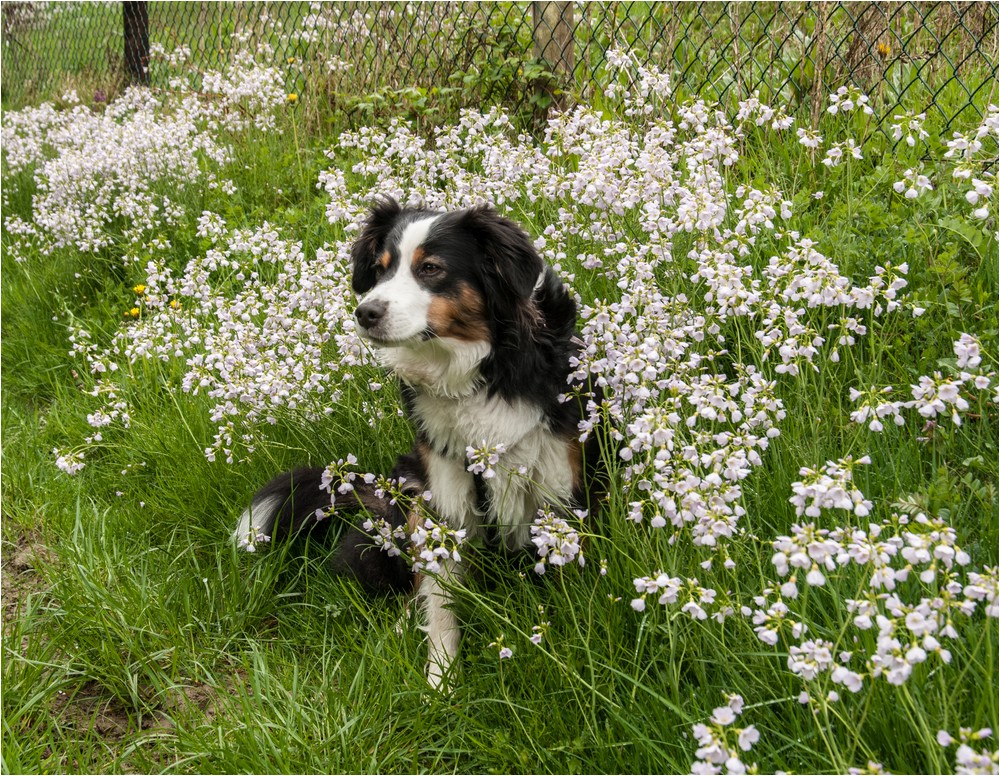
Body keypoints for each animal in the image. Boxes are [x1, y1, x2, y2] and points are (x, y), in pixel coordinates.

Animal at [234, 202, 604, 692]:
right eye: (380, 270)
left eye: (431, 269)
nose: (365, 312)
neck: (480, 371)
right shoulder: (444, 491)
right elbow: (441, 602)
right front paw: (440, 682)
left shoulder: (563, 488)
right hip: (410, 488)